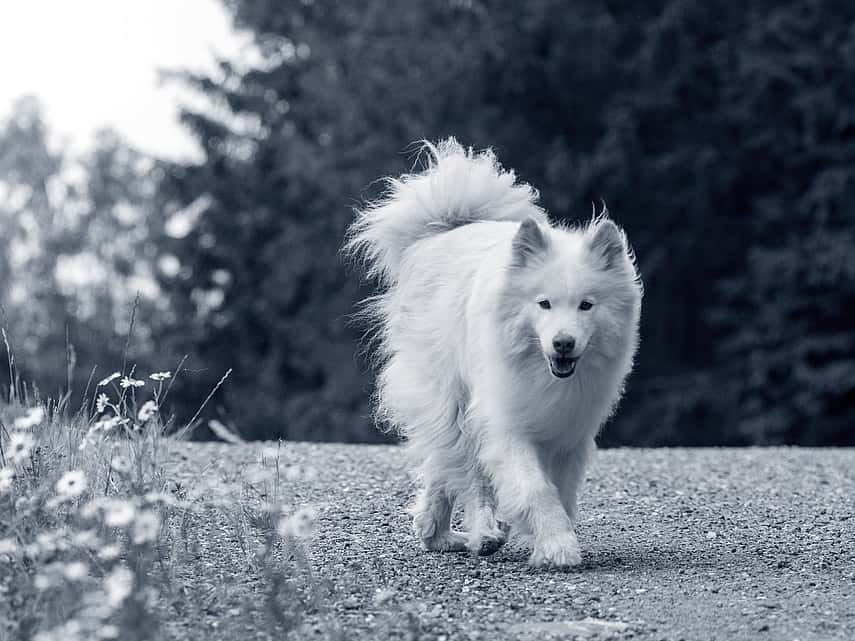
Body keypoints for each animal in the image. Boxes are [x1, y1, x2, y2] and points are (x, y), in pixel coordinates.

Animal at [344, 139, 640, 564]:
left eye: (586, 305)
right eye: (544, 304)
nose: (563, 343)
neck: (541, 372)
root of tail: (448, 228)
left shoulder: (570, 434)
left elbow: (561, 491)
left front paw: (550, 539)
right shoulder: (506, 424)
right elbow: (534, 488)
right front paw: (558, 545)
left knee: (445, 466)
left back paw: (436, 532)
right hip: (453, 403)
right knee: (466, 473)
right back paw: (478, 532)